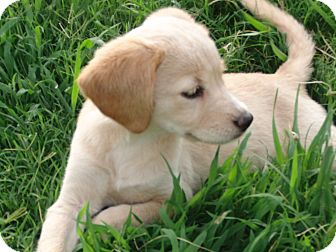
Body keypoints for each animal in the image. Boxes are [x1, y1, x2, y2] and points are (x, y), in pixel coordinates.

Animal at [36, 0, 334, 251]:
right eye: (192, 92)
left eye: (221, 77)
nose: (247, 120)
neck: (130, 141)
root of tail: (287, 79)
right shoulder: (69, 201)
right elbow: (55, 237)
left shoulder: (175, 197)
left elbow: (125, 213)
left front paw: (95, 228)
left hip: (319, 142)